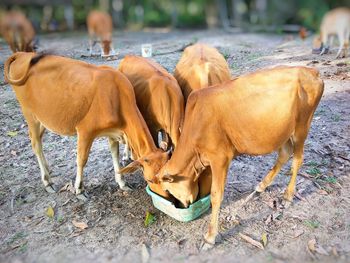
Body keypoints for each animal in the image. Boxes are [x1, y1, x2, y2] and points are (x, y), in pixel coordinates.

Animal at [4, 51, 170, 200]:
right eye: (149, 180)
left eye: (165, 178)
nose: (165, 197)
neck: (116, 96)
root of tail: (21, 54)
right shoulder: (85, 131)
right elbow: (81, 160)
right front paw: (79, 189)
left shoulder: (113, 132)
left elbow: (114, 154)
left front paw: (122, 183)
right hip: (29, 114)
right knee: (36, 144)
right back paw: (47, 182)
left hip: (42, 118)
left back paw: (48, 171)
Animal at [158, 66, 322, 248]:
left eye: (168, 189)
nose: (181, 205)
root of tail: (311, 71)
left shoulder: (220, 158)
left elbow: (216, 195)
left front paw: (210, 236)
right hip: (284, 131)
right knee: (285, 154)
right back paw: (262, 186)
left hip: (302, 126)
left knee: (298, 159)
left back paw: (287, 196)